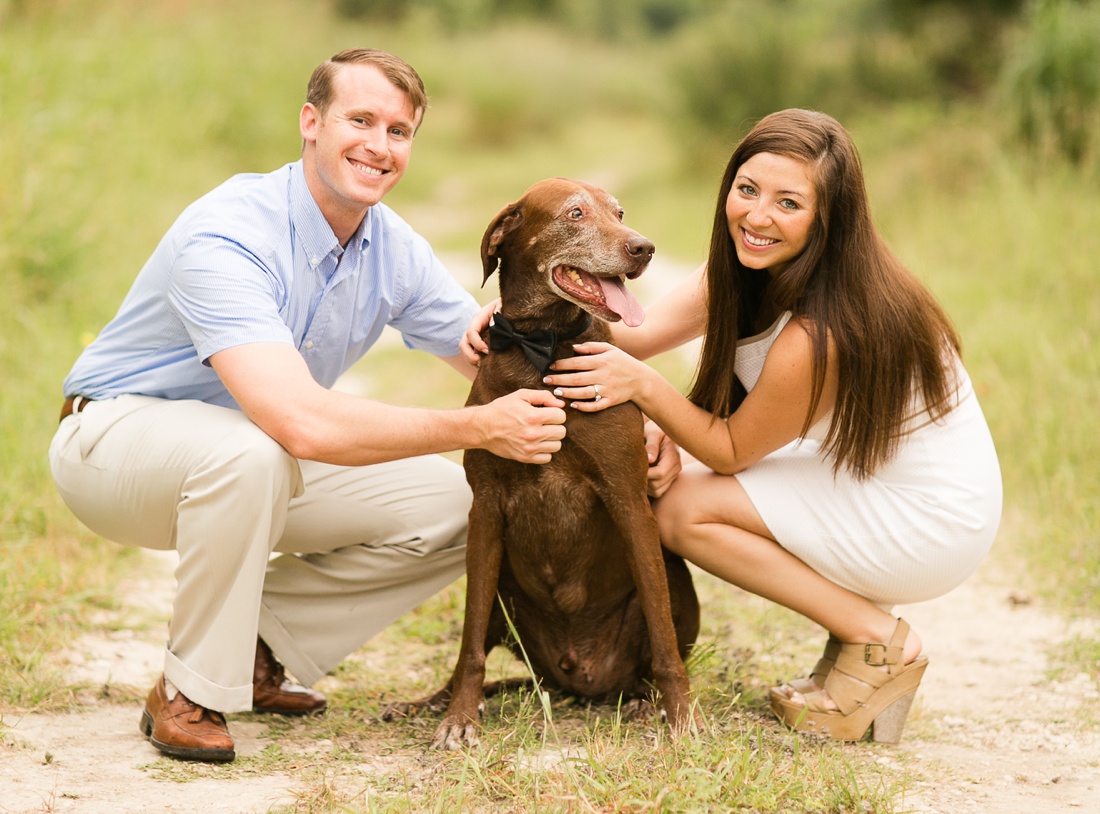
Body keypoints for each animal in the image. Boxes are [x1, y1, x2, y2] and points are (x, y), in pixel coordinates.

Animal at [382, 178, 699, 752]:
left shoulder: (629, 502)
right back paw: (427, 702)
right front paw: (459, 719)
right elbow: (469, 647)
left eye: (620, 212)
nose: (643, 248)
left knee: (651, 653)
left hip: (674, 578)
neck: (543, 347)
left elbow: (664, 642)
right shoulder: (485, 512)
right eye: (575, 213)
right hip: (502, 588)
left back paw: (647, 702)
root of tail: (575, 680)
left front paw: (684, 718)